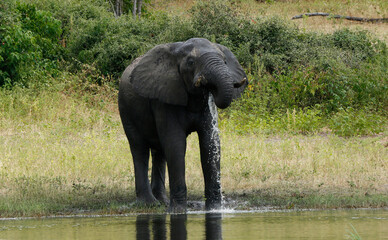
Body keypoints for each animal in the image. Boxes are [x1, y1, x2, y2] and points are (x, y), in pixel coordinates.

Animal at [118, 37, 247, 212]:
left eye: (225, 61)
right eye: (191, 62)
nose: (210, 86)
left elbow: (209, 144)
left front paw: (214, 209)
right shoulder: (164, 98)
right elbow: (175, 144)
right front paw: (178, 211)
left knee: (159, 152)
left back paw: (163, 202)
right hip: (125, 108)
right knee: (139, 149)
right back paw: (149, 204)